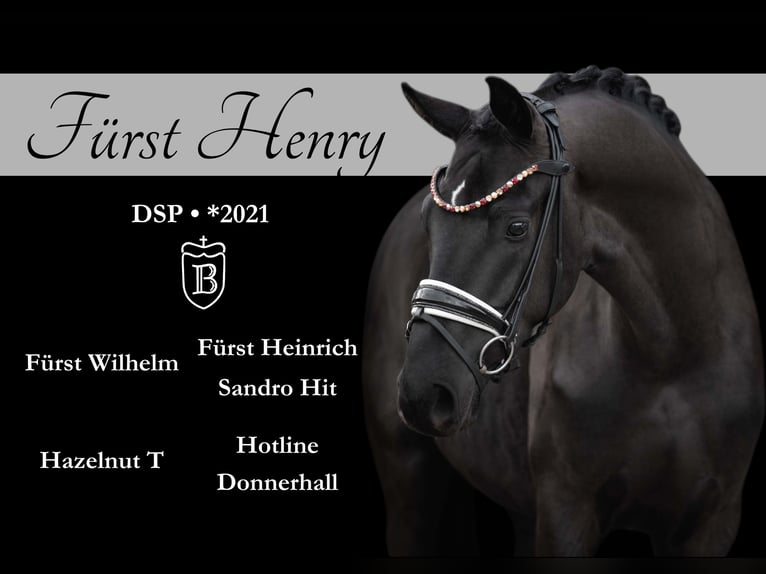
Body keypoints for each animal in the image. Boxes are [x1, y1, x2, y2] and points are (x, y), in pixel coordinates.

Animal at [362, 66, 764, 556]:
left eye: (517, 227)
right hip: (408, 478)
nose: (423, 393)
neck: (673, 356)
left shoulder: (712, 521)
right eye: (429, 222)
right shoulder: (565, 511)